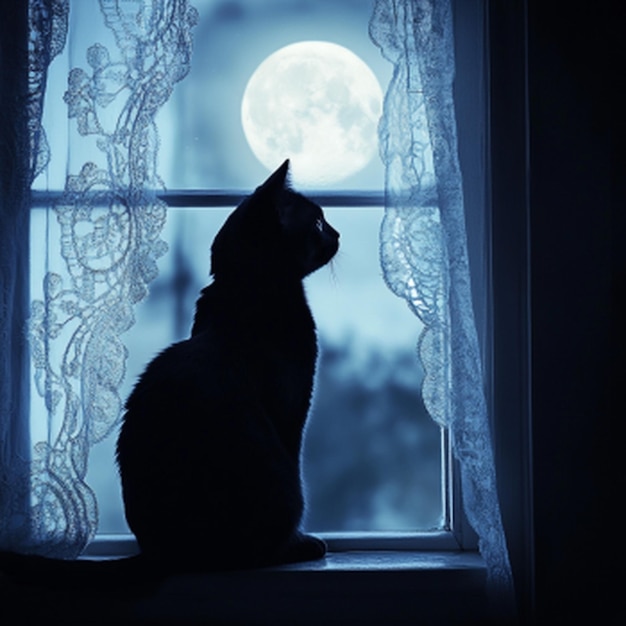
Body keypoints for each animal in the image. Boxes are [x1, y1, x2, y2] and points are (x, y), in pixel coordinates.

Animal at [0, 157, 336, 584]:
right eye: (317, 223)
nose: (337, 233)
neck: (246, 290)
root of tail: (159, 553)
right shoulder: (292, 412)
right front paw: (302, 539)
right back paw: (298, 548)